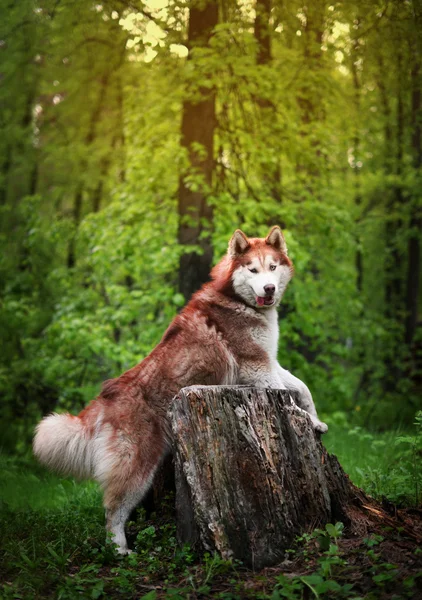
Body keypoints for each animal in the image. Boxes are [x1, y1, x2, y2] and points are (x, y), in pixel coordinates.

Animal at [34, 227, 328, 556]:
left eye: (273, 267)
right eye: (252, 269)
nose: (268, 288)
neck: (238, 301)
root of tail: (107, 395)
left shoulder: (270, 363)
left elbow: (302, 388)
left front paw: (315, 418)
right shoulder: (257, 367)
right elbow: (286, 395)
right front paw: (305, 419)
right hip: (137, 469)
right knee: (113, 509)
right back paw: (120, 550)